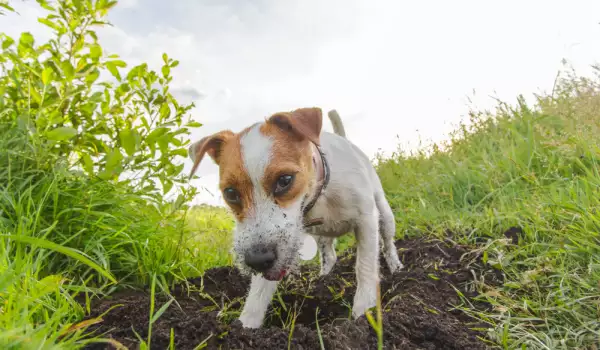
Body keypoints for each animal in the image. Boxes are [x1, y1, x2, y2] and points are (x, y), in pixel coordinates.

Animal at [188, 106, 404, 328]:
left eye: (285, 180)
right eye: (230, 193)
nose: (257, 260)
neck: (319, 192)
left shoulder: (366, 220)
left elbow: (365, 266)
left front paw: (364, 311)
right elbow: (258, 291)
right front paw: (246, 324)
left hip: (384, 215)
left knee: (387, 243)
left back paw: (396, 267)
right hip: (321, 236)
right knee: (329, 256)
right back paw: (324, 278)